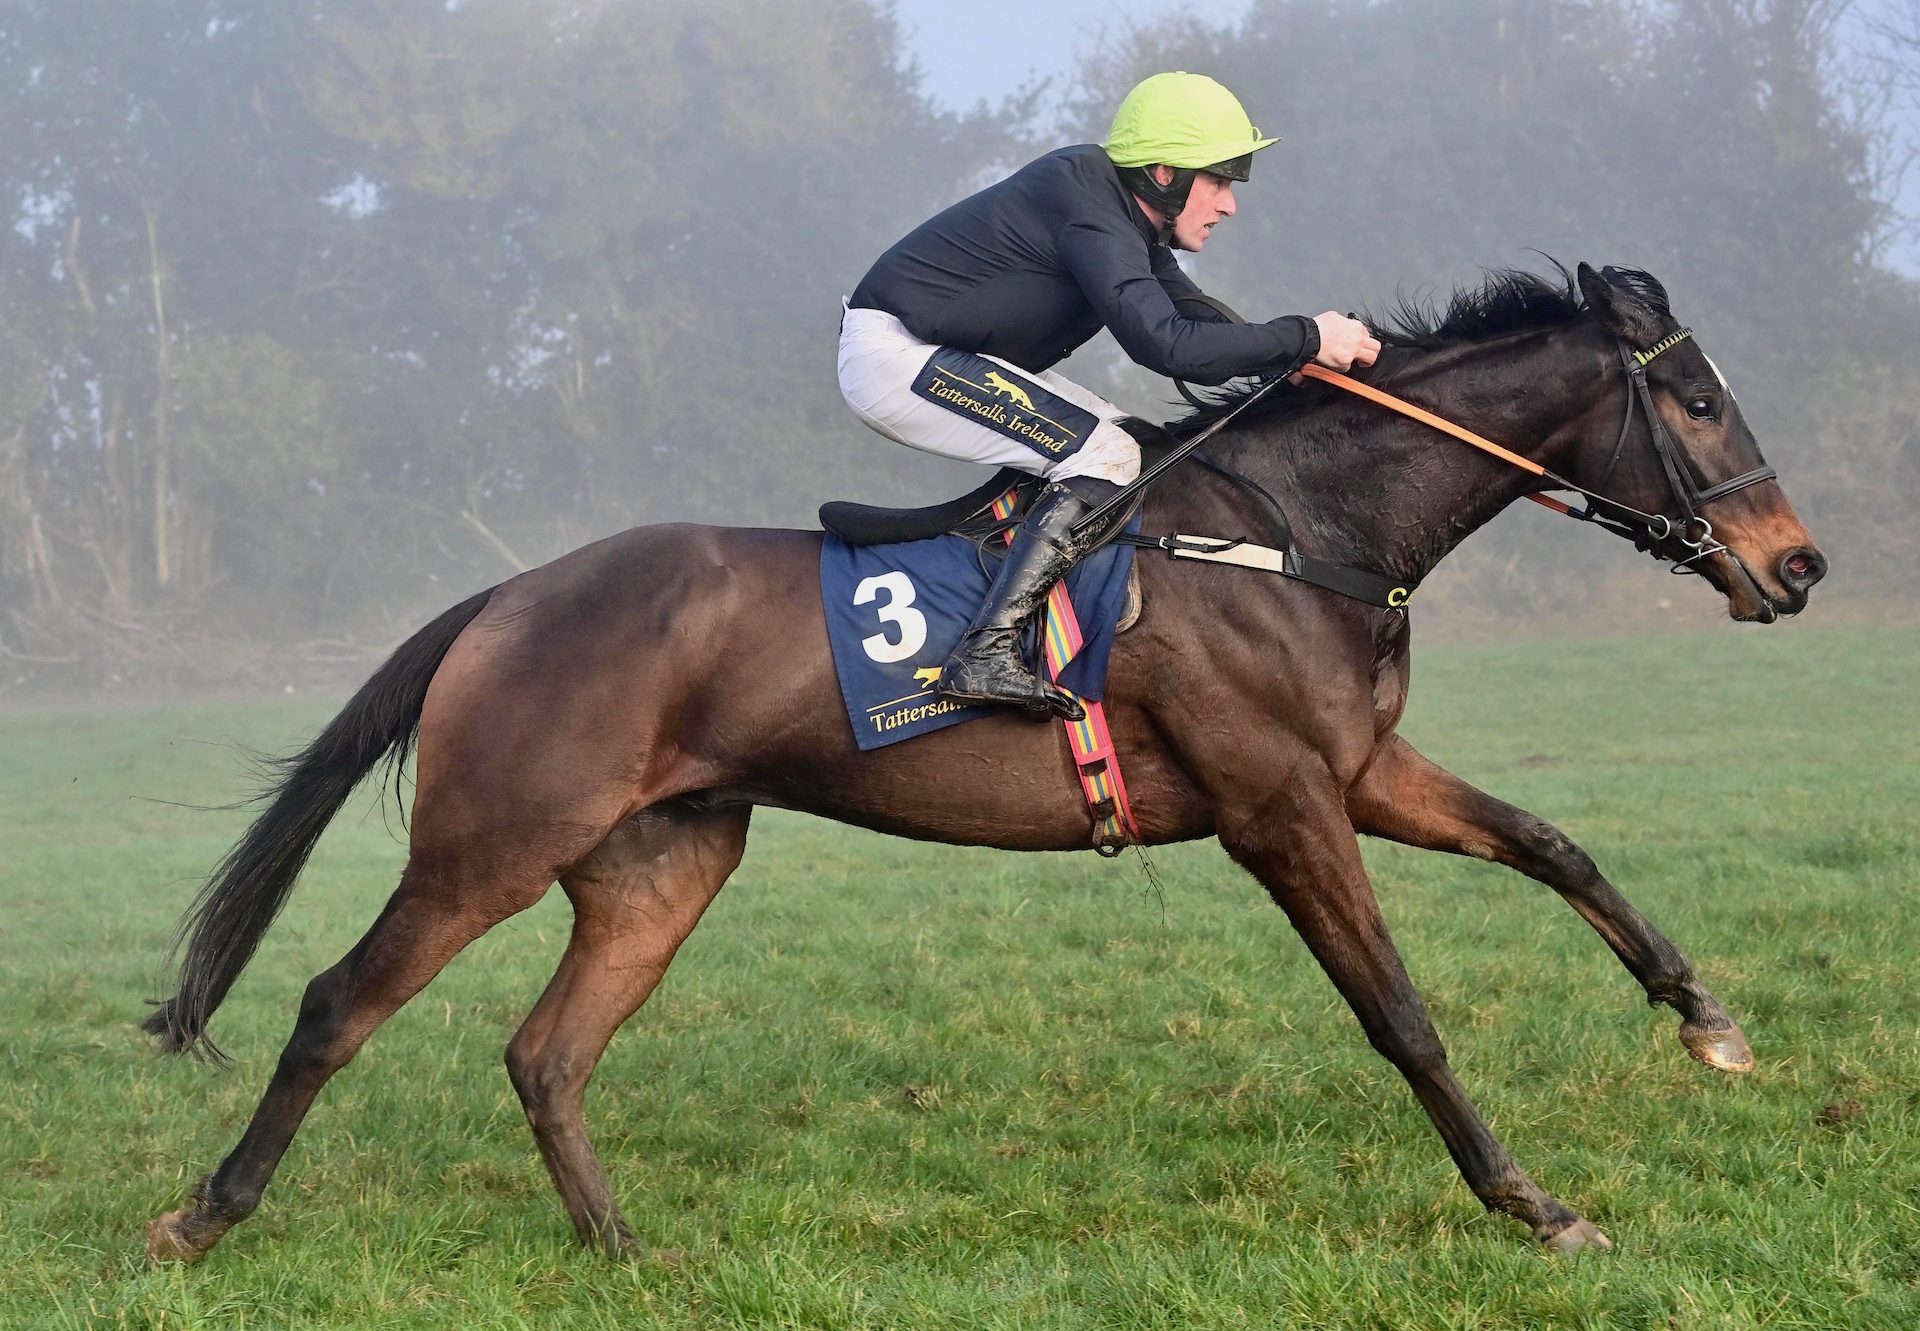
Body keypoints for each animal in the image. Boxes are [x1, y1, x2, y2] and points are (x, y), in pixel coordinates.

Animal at [139, 257, 1827, 1259]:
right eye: (1694, 399)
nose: (1799, 566)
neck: (1295, 528)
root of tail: (506, 596)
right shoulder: (1280, 805)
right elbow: (1400, 1013)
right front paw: (1533, 1199)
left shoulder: (1353, 774)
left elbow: (1553, 842)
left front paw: (1707, 1018)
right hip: (494, 838)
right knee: (337, 1002)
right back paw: (203, 1215)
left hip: (660, 859)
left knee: (547, 1051)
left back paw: (622, 1250)